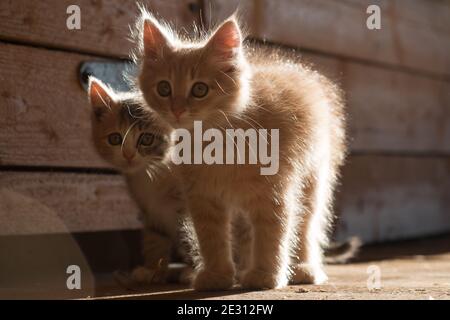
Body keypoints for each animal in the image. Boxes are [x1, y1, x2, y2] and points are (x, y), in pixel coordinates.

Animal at [135, 12, 346, 292]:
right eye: (164, 88)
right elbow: (212, 239)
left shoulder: (272, 193)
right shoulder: (203, 198)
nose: (177, 110)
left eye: (199, 89)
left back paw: (303, 268)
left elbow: (272, 235)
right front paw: (218, 275)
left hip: (312, 180)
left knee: (306, 226)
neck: (217, 143)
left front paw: (265, 275)